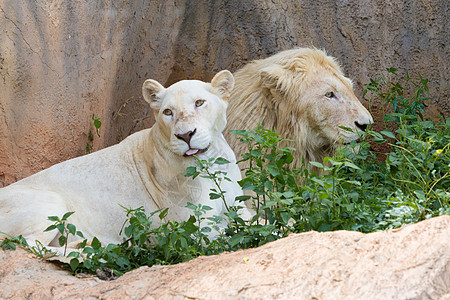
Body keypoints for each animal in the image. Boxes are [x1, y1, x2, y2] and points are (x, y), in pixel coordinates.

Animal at [0, 70, 250, 251]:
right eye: (168, 112)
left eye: (199, 103)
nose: (185, 135)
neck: (212, 162)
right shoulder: (195, 228)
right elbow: (239, 235)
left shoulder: (238, 207)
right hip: (50, 203)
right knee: (26, 246)